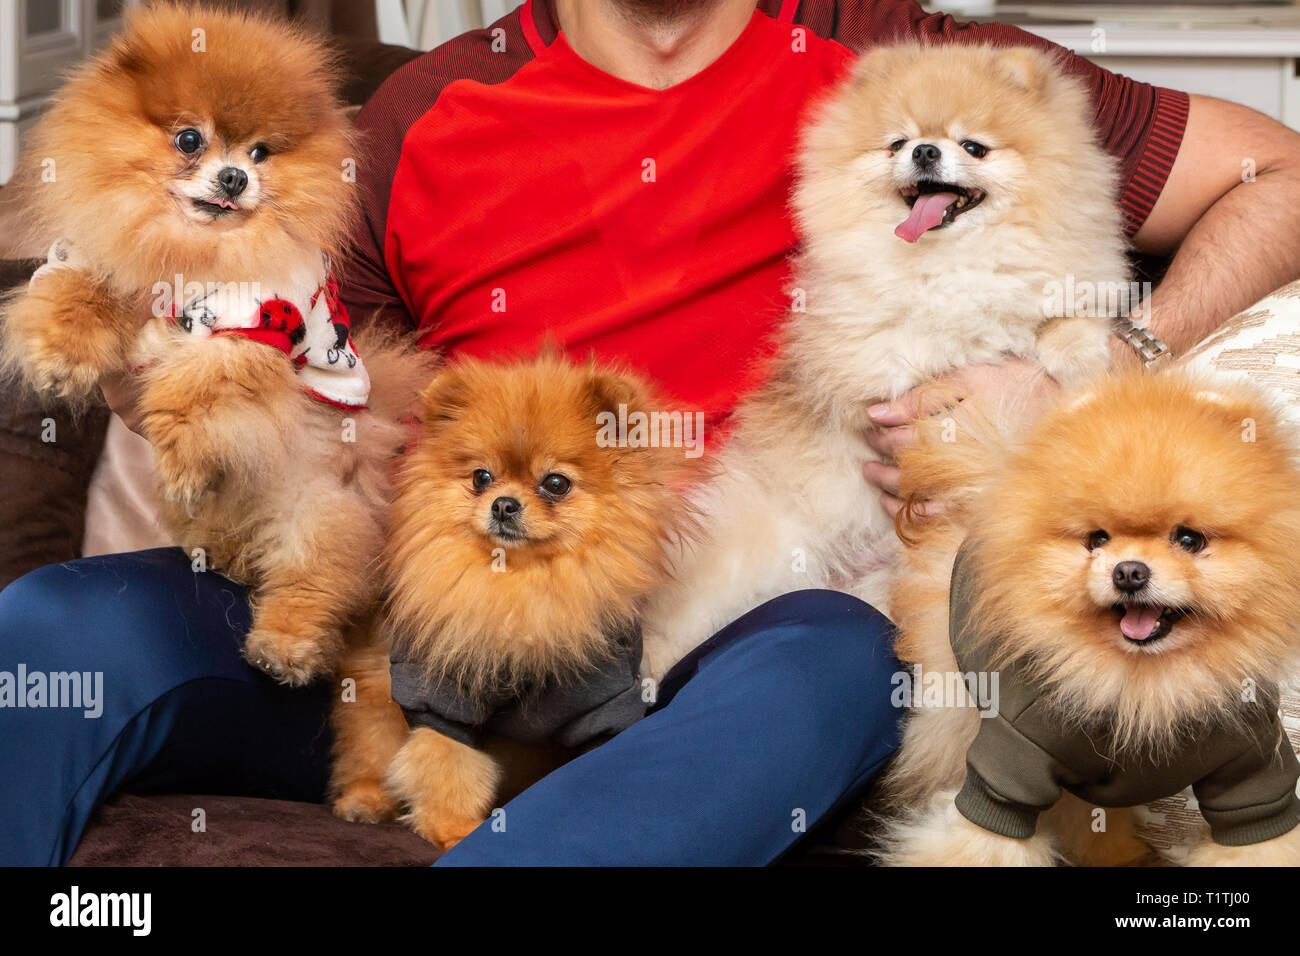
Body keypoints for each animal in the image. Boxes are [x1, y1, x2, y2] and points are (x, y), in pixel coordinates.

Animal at [0, 3, 431, 686]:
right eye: (188, 139)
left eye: (260, 152)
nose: (235, 175)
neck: (191, 249)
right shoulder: (111, 262)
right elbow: (77, 289)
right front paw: (60, 358)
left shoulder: (254, 325)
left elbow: (198, 385)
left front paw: (181, 460)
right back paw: (225, 553)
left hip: (316, 508)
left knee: (316, 580)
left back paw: (284, 646)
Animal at [332, 356, 702, 848]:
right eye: (481, 477)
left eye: (556, 483)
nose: (504, 504)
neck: (520, 587)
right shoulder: (444, 696)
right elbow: (447, 762)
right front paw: (453, 828)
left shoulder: (600, 701)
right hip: (379, 695)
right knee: (370, 751)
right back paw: (365, 800)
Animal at [639, 44, 1128, 681]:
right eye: (898, 143)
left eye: (974, 147)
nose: (925, 151)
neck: (954, 259)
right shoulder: (858, 341)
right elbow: (901, 342)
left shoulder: (1069, 285)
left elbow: (1061, 320)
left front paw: (1080, 362)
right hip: (736, 555)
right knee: (672, 624)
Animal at [878, 374, 1300, 868]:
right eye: (1096, 540)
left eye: (1189, 540)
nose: (1129, 571)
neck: (1141, 687)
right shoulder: (1015, 756)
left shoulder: (1253, 769)